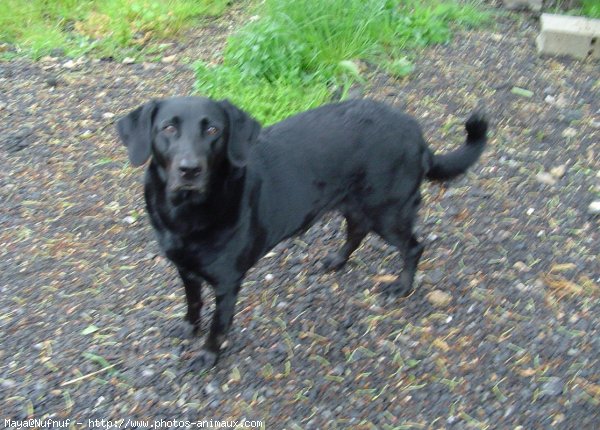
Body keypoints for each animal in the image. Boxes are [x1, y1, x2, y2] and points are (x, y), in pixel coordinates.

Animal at [118, 98, 488, 370]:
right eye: (168, 128)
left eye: (212, 129)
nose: (190, 169)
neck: (187, 213)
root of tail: (416, 133)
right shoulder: (185, 269)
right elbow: (194, 303)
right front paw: (188, 327)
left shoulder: (227, 284)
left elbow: (218, 325)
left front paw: (208, 354)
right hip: (355, 204)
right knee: (357, 231)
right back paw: (336, 260)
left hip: (388, 211)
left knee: (412, 247)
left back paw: (402, 286)